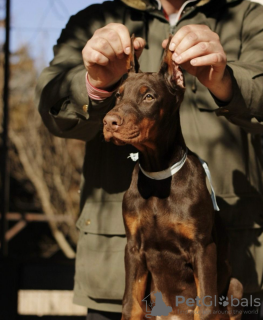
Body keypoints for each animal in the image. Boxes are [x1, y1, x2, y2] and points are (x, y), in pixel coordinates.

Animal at [102, 37, 243, 320]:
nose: (108, 121)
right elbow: (130, 303)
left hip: (235, 286)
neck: (158, 175)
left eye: (148, 96)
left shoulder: (202, 247)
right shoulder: (133, 248)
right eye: (118, 95)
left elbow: (205, 307)